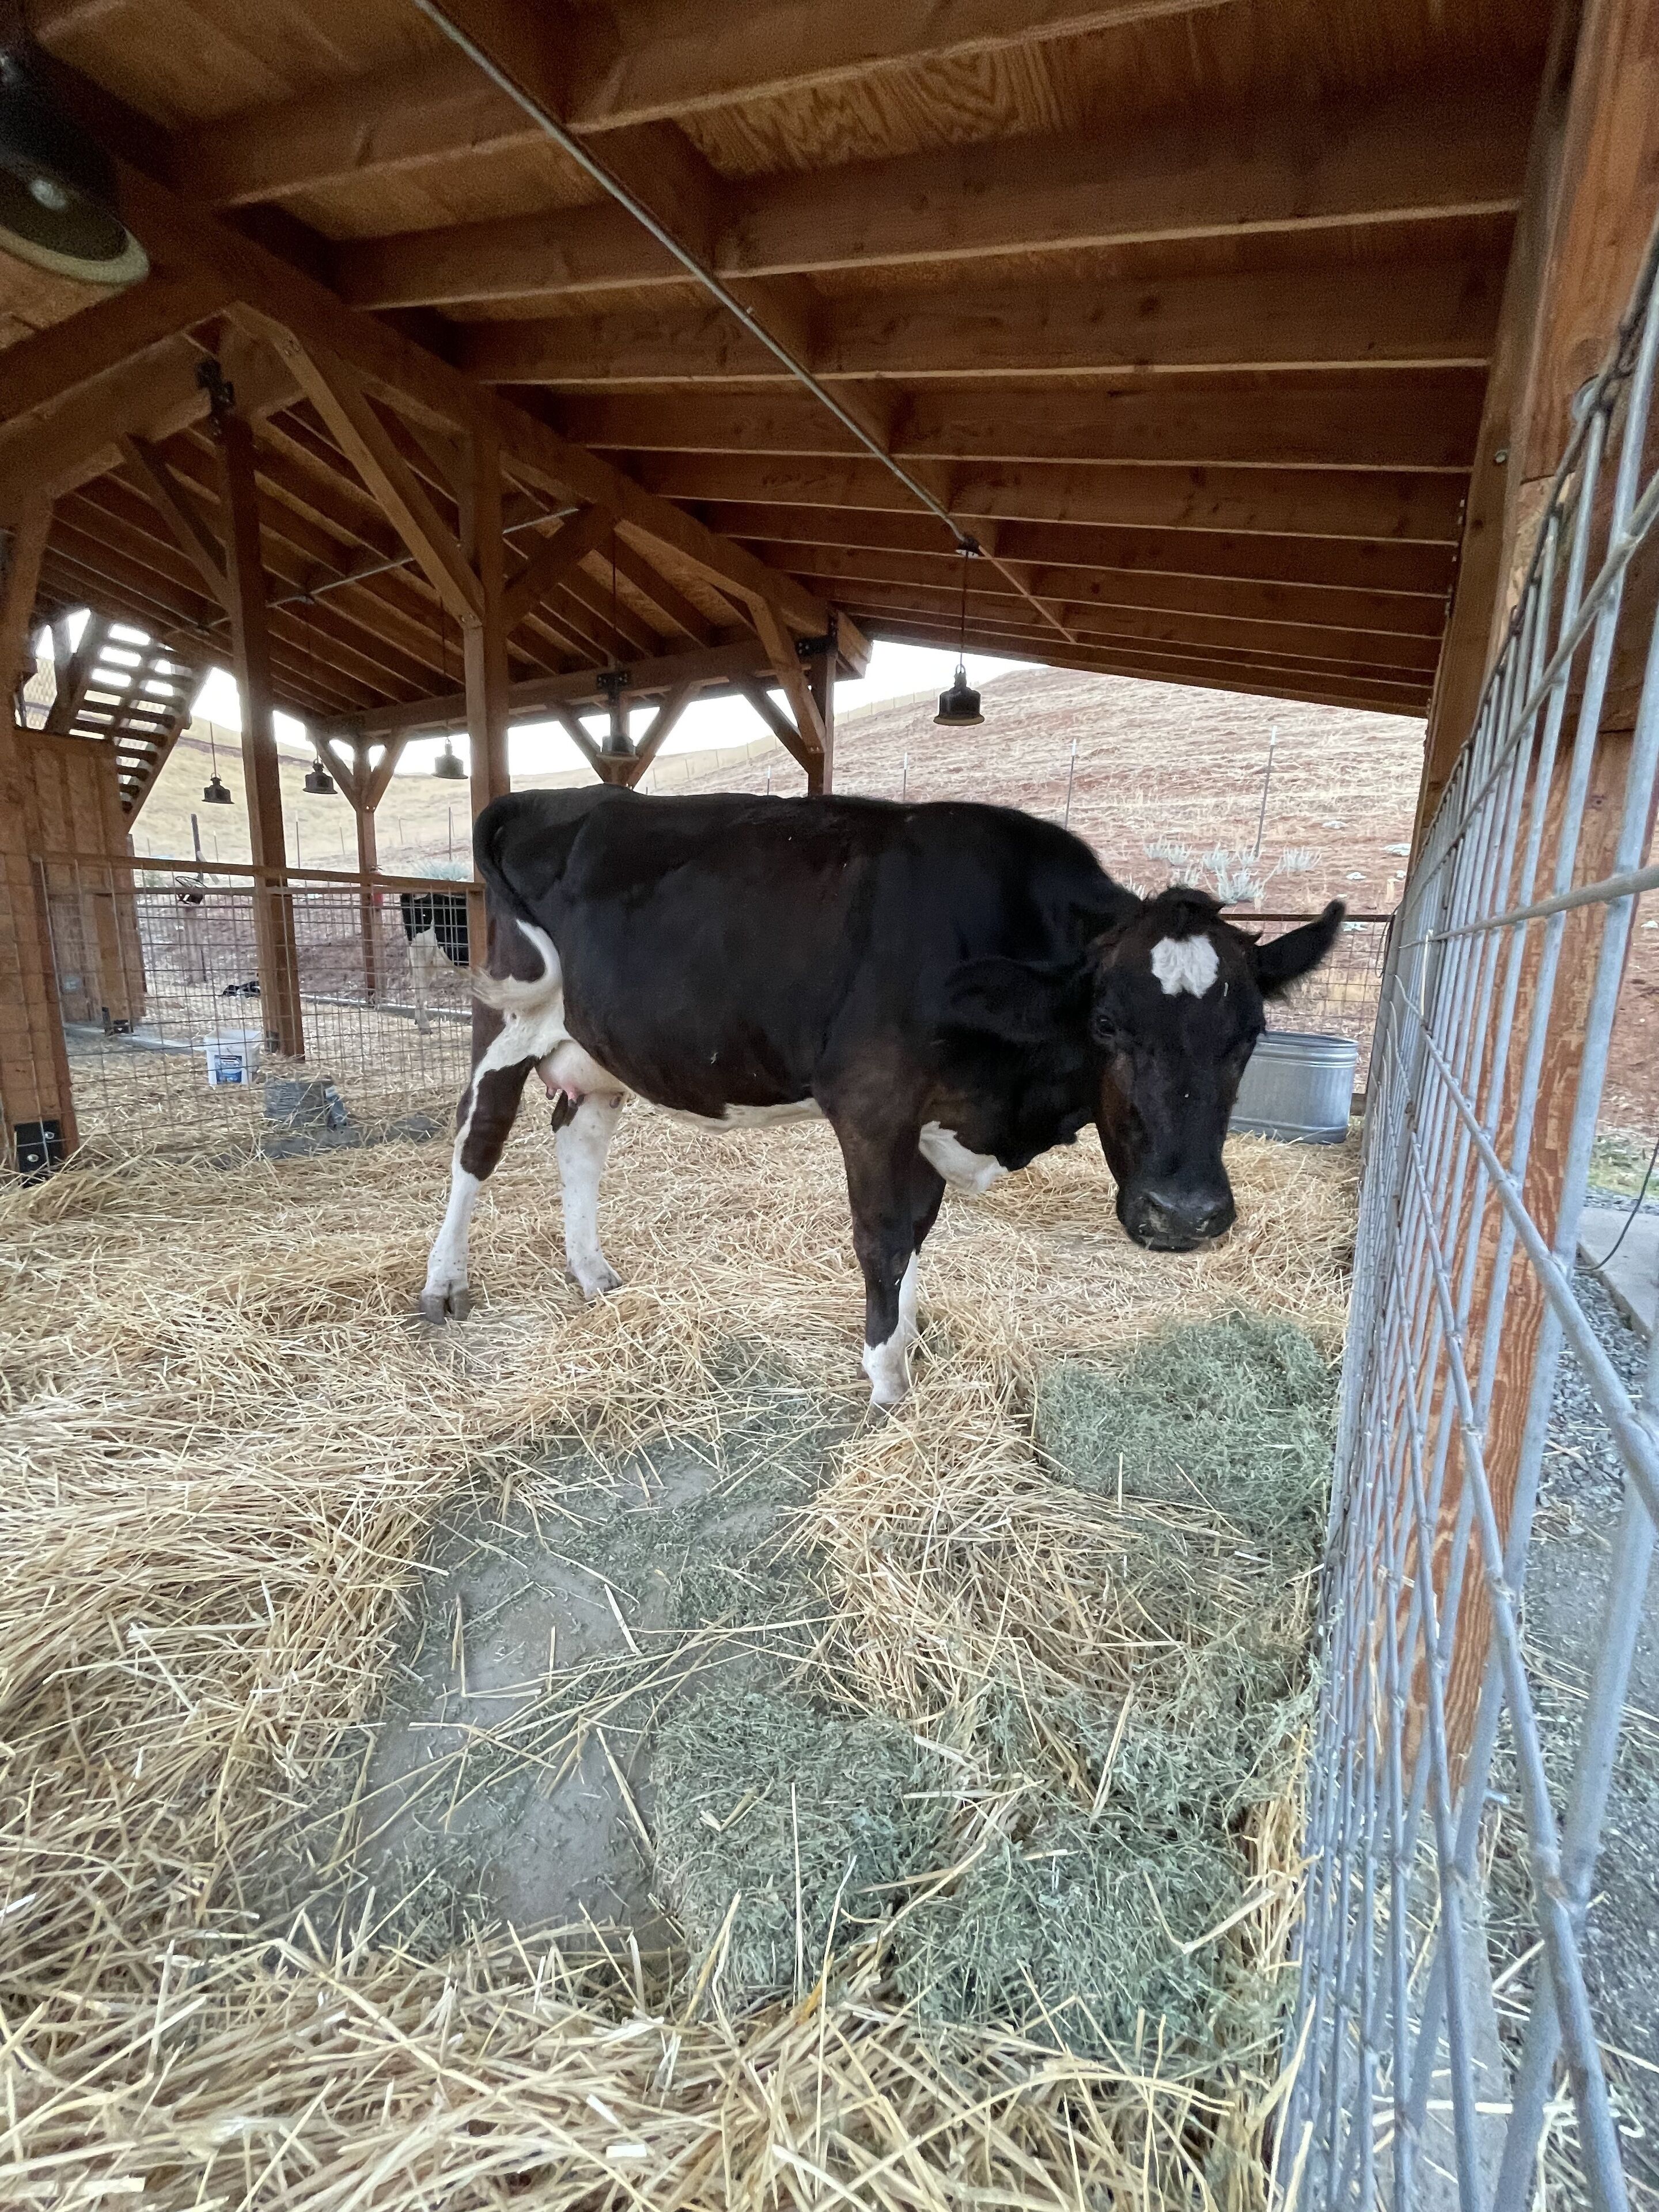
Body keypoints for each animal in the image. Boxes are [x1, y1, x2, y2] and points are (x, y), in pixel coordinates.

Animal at [421, 787, 1342, 1406]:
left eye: (1250, 1035)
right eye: (1108, 1024)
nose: (1184, 1214)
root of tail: (563, 795)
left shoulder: (932, 1117)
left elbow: (919, 1234)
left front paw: (904, 1338)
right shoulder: (871, 1103)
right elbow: (885, 1240)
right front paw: (886, 1384)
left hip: (600, 1047)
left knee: (579, 1138)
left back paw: (592, 1273)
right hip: (507, 1015)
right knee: (479, 1140)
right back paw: (444, 1284)